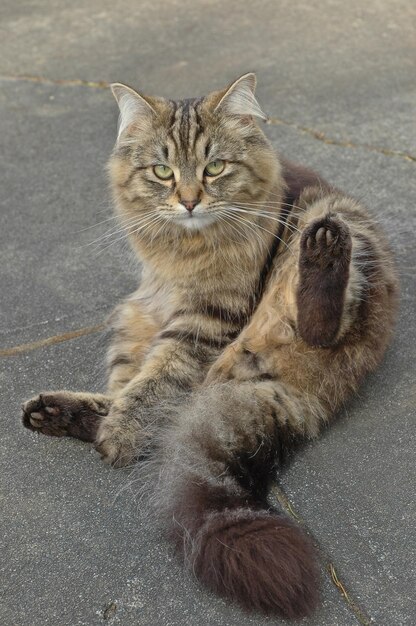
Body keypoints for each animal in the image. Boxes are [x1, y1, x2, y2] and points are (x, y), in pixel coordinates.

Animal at [21, 74, 398, 620]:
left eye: (214, 167)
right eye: (162, 172)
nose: (189, 200)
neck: (184, 251)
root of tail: (293, 395)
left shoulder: (207, 318)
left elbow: (156, 381)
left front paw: (121, 436)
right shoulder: (156, 311)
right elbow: (140, 386)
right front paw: (113, 426)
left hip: (341, 238)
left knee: (319, 322)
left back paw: (324, 251)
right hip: (131, 318)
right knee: (146, 407)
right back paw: (57, 414)